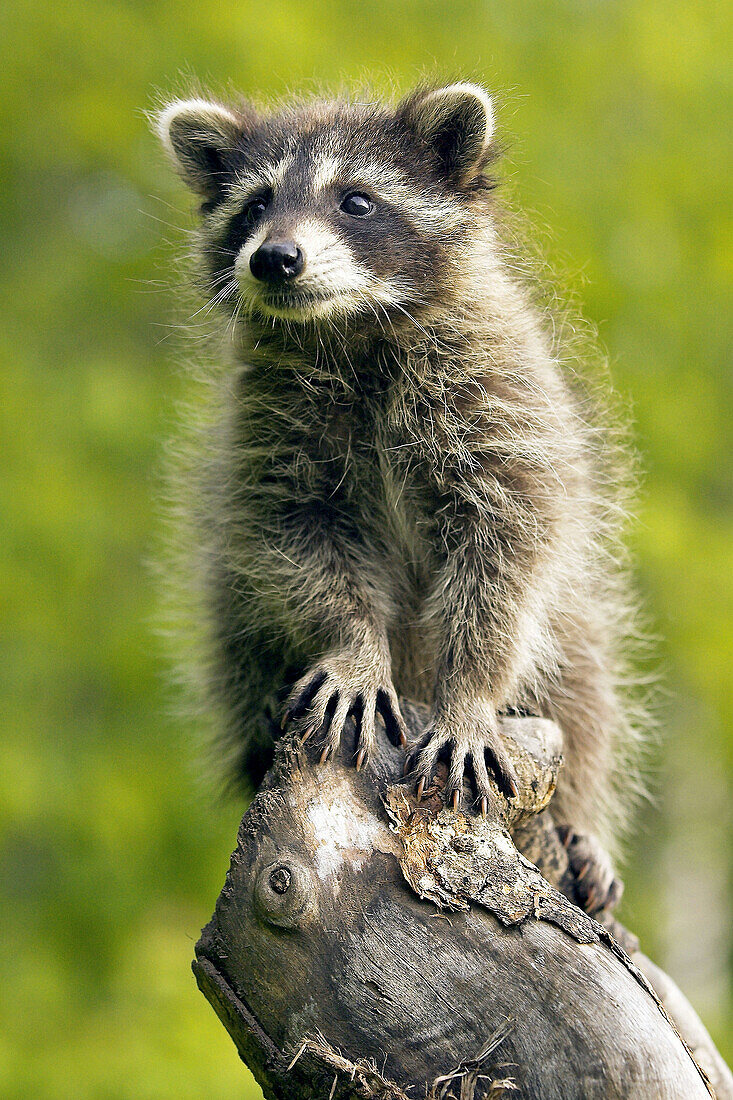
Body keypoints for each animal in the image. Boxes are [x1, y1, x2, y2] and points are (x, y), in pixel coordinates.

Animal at [154, 83, 638, 910]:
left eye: (355, 200)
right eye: (255, 204)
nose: (274, 258)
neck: (348, 327)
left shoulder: (501, 402)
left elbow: (505, 556)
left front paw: (469, 692)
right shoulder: (269, 430)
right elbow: (292, 538)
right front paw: (354, 643)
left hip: (576, 621)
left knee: (581, 681)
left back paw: (579, 816)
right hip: (233, 620)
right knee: (239, 628)